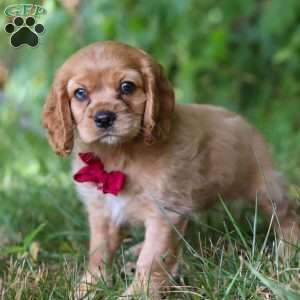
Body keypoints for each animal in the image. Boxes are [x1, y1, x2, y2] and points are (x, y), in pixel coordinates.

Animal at [42, 40, 298, 300]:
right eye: (80, 93)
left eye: (127, 87)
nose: (104, 118)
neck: (118, 155)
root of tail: (243, 122)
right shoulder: (102, 212)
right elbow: (99, 253)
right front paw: (88, 287)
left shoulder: (164, 213)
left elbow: (152, 259)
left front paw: (138, 293)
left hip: (263, 187)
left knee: (287, 213)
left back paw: (287, 252)